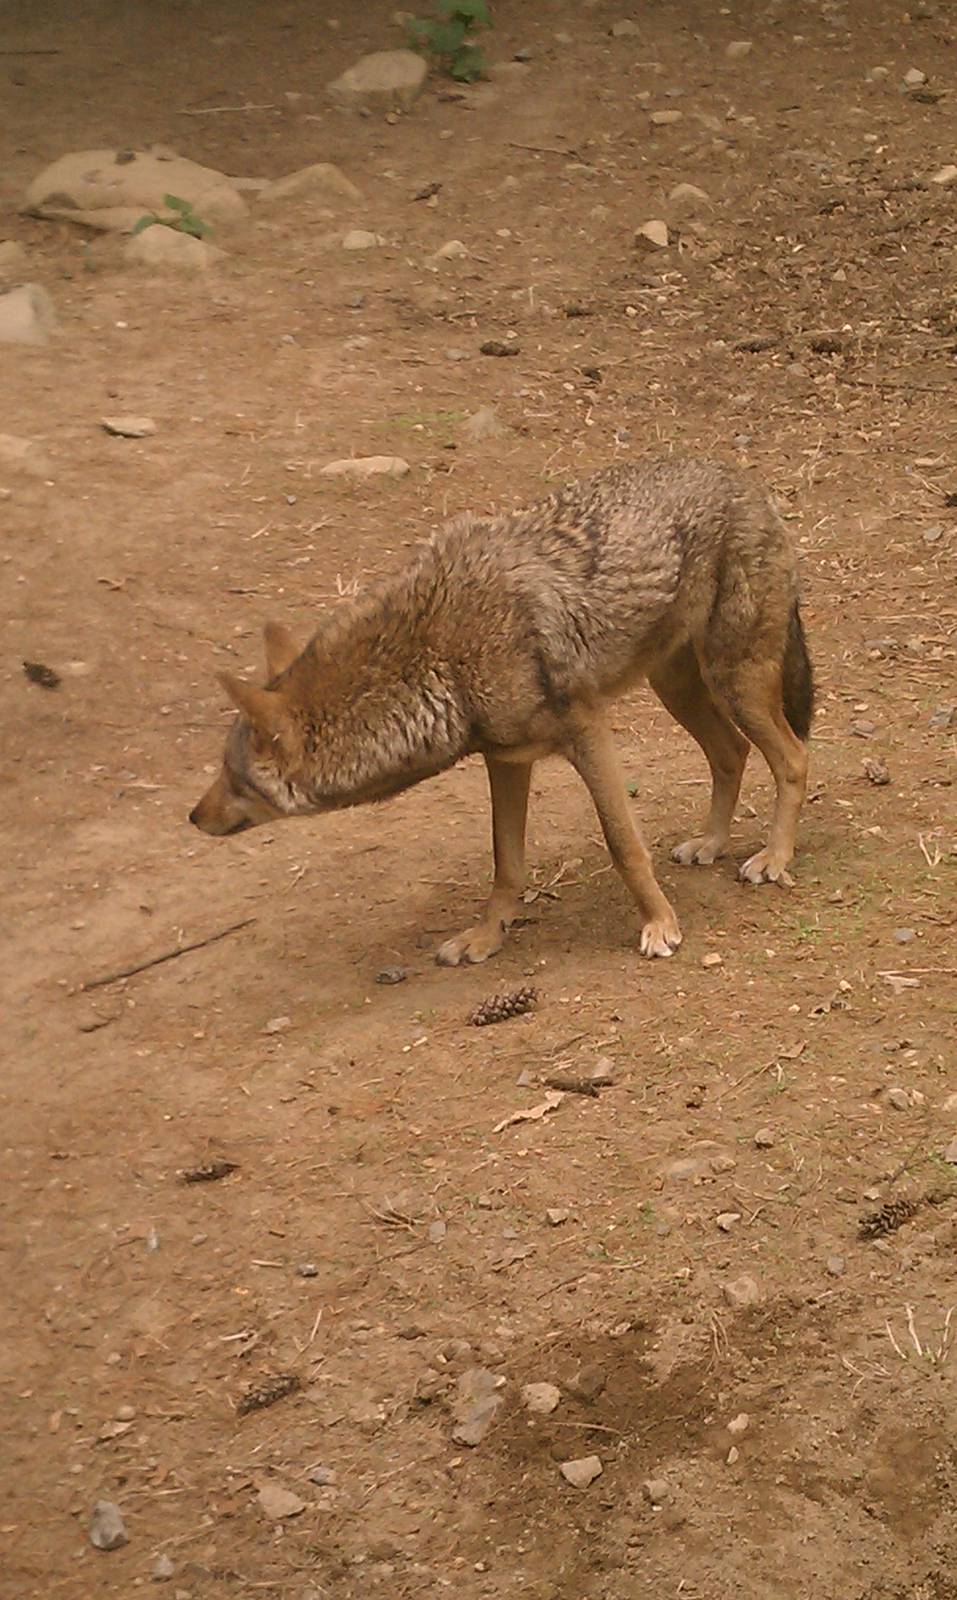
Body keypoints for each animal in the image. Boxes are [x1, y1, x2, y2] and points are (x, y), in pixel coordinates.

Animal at [189, 458, 813, 963]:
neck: (437, 655)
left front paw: (659, 925)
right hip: (679, 688)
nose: (193, 817)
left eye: (231, 778)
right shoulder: (507, 759)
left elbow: (623, 845)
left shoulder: (588, 731)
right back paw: (711, 843)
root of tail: (749, 481)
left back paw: (774, 858)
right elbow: (505, 863)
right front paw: (485, 938)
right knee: (731, 753)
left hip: (736, 683)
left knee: (792, 759)